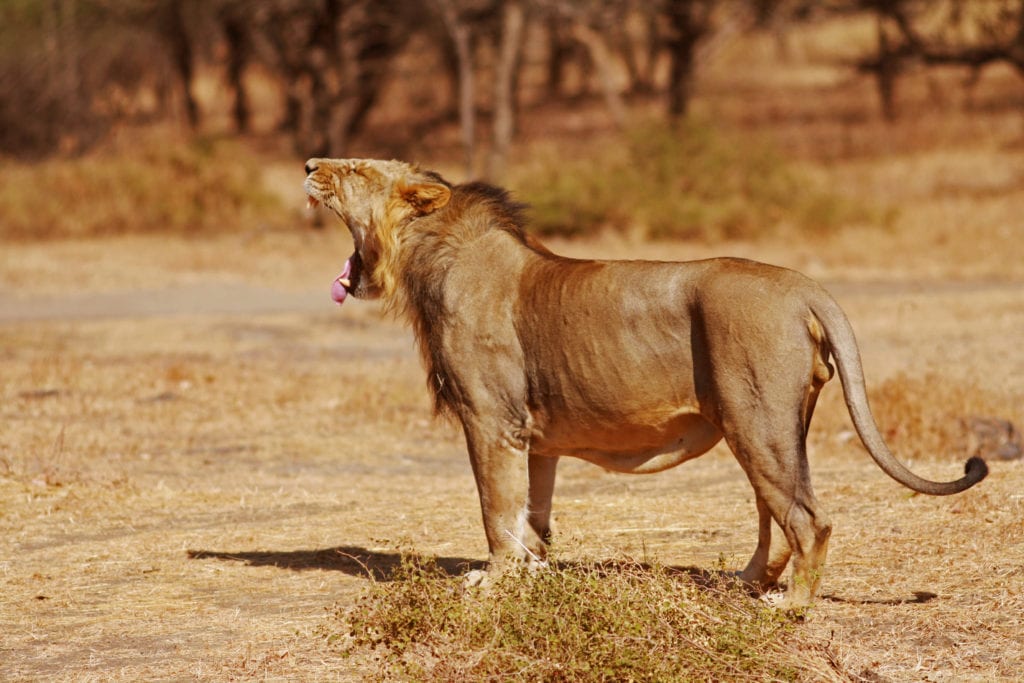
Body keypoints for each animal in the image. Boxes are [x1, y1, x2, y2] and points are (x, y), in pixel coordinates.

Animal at [303, 157, 988, 607]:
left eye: (356, 169)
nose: (309, 163)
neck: (427, 256)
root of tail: (802, 286)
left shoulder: (491, 421)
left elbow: (496, 510)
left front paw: (491, 582)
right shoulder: (536, 439)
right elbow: (533, 516)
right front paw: (533, 576)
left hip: (756, 421)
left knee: (806, 518)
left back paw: (789, 607)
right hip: (768, 426)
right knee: (776, 515)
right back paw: (745, 583)